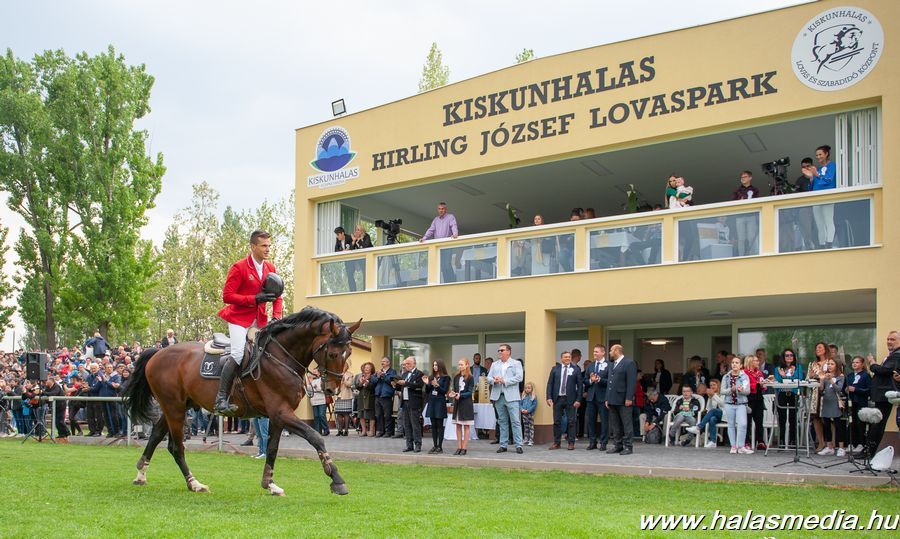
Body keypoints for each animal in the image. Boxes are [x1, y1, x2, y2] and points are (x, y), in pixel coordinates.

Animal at [124, 308, 362, 498]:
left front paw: (270, 484)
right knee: (175, 447)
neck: (280, 357)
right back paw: (194, 484)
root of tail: (158, 352)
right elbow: (315, 437)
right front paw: (337, 479)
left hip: (177, 406)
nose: (332, 389)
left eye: (349, 353)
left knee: (156, 435)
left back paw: (141, 475)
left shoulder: (277, 416)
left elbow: (272, 448)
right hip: (174, 407)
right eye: (333, 354)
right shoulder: (281, 412)